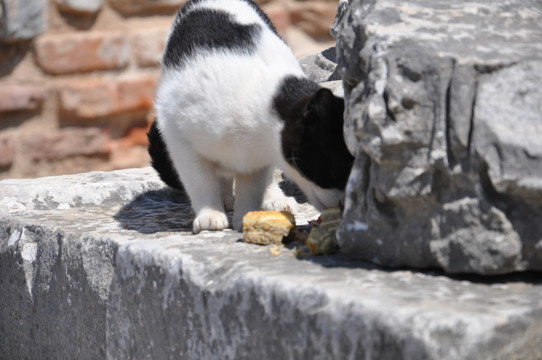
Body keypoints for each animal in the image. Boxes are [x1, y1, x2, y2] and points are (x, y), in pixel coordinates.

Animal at [149, 0, 354, 233]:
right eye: (335, 169)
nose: (343, 205)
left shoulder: (255, 161)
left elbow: (252, 188)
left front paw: (246, 217)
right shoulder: (179, 137)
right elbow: (201, 182)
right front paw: (210, 214)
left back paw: (273, 199)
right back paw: (225, 199)